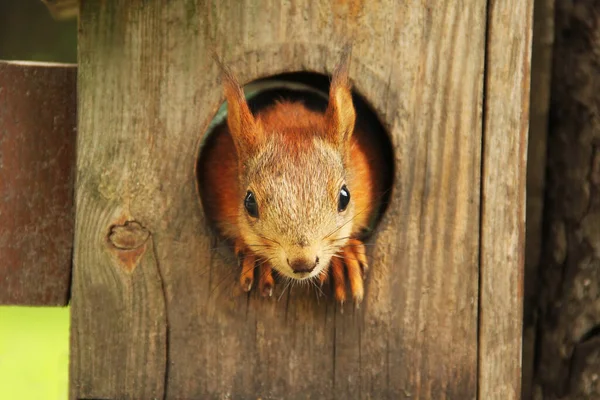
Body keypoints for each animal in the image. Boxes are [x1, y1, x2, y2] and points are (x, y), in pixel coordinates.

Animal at [199, 49, 386, 306]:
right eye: (249, 203)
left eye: (345, 197)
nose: (302, 262)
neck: (290, 119)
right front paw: (252, 257)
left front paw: (344, 256)